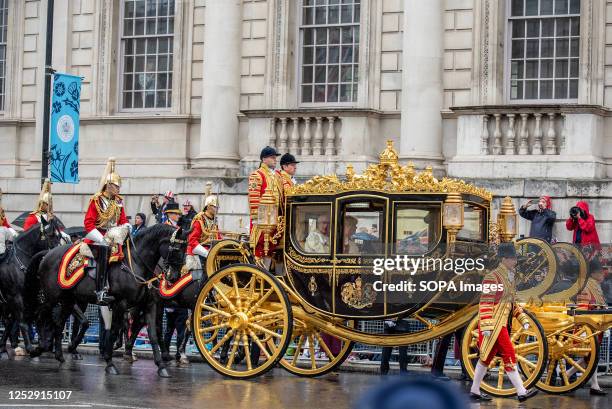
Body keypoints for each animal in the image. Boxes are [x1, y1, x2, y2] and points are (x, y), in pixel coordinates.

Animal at [0, 220, 64, 356]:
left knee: (8, 323)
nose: (60, 255)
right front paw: (30, 348)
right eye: (50, 235)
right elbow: (23, 323)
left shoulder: (35, 299)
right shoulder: (16, 298)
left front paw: (41, 346)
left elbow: (38, 321)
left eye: (60, 236)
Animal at [30, 223, 186, 376]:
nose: (174, 277)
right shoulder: (120, 304)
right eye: (176, 248)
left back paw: (59, 355)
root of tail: (48, 253)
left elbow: (153, 334)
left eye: (186, 248)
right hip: (52, 297)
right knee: (39, 315)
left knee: (58, 323)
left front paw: (161, 366)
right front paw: (110, 362)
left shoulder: (150, 305)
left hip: (68, 300)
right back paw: (38, 348)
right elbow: (113, 331)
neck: (136, 264)